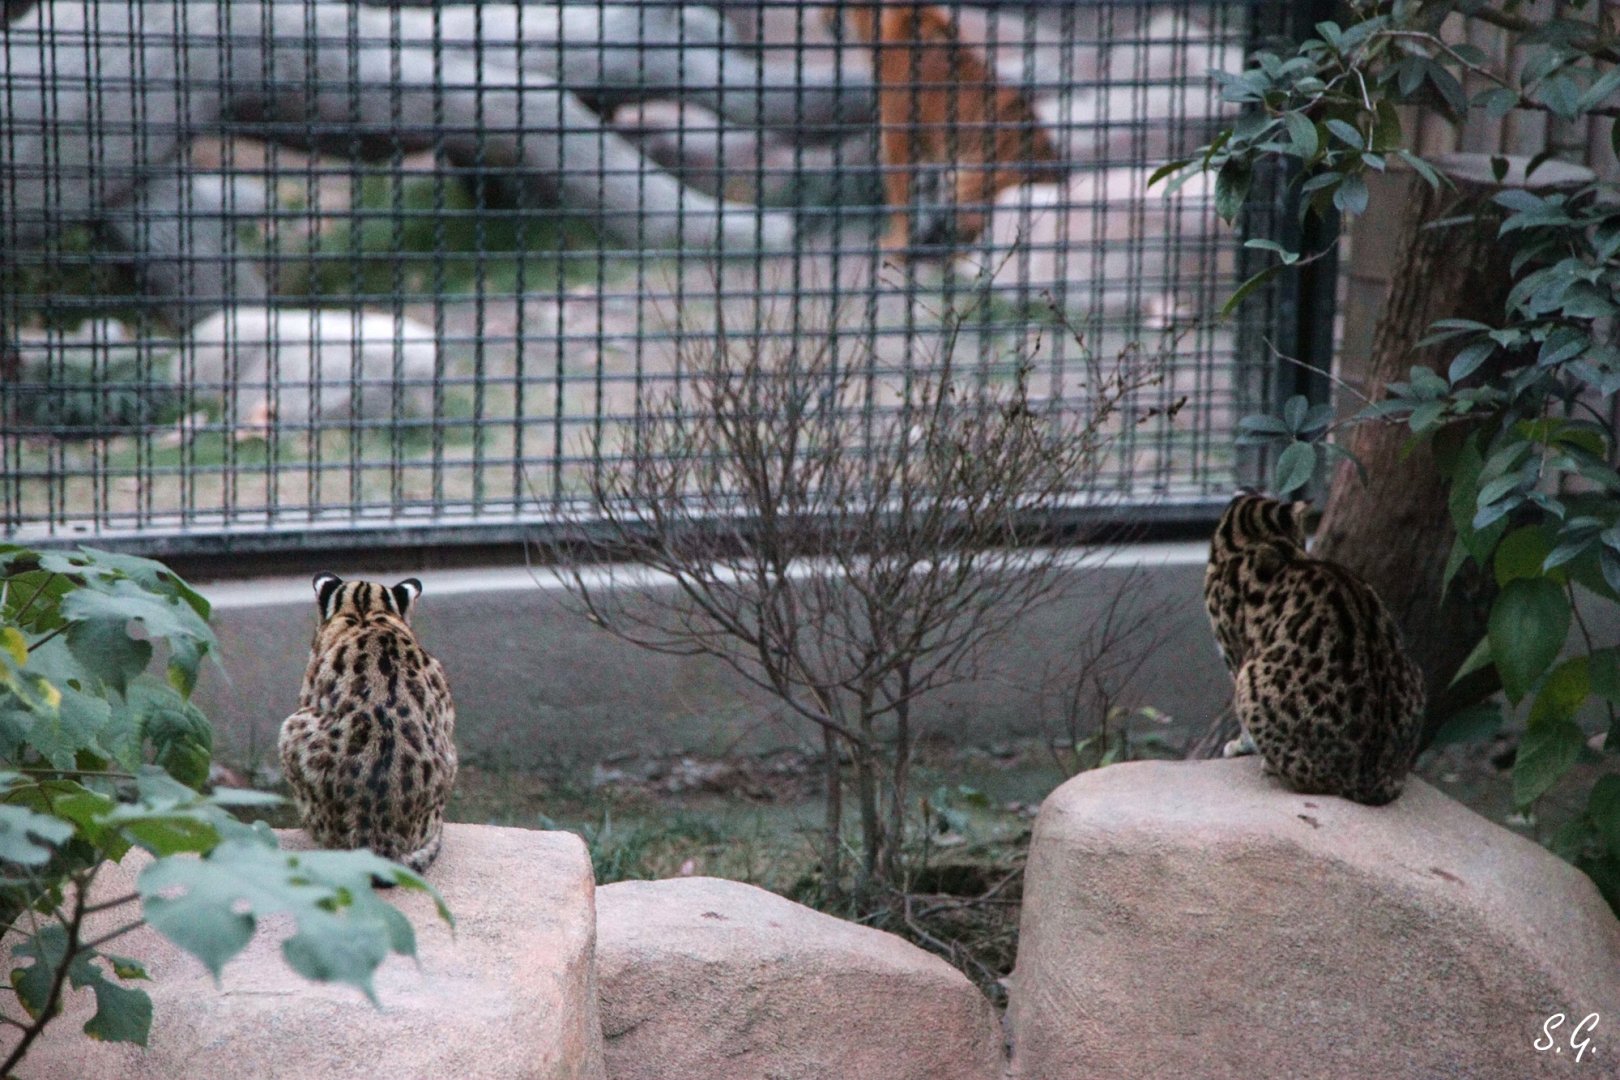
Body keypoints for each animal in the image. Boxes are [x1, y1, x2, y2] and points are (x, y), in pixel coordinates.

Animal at [1203, 493, 1424, 806]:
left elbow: (1242, 723)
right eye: (1302, 537)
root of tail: (1369, 777)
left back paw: (1269, 763)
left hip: (1251, 677)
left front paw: (1239, 745)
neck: (1259, 536)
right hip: (1416, 673)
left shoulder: (1236, 657)